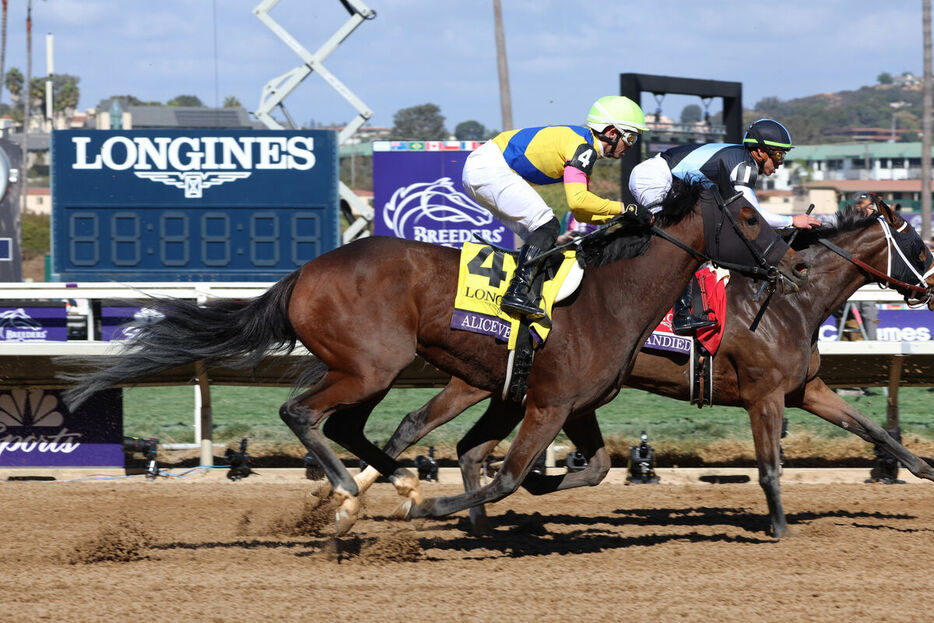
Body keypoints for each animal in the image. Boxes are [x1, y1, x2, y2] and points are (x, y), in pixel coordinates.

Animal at [62, 186, 808, 536]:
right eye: (746, 215)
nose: (792, 262)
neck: (608, 292)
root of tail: (305, 271)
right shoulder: (546, 402)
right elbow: (504, 474)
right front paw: (447, 506)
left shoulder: (572, 403)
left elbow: (584, 467)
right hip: (370, 365)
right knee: (302, 412)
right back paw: (355, 490)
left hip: (371, 368)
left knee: (348, 426)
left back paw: (389, 485)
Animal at [356, 199, 934, 536]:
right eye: (919, 246)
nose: (930, 287)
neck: (791, 300)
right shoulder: (763, 394)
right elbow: (770, 467)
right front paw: (781, 530)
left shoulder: (806, 388)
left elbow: (873, 429)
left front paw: (923, 467)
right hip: (480, 384)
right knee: (418, 427)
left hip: (504, 390)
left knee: (462, 445)